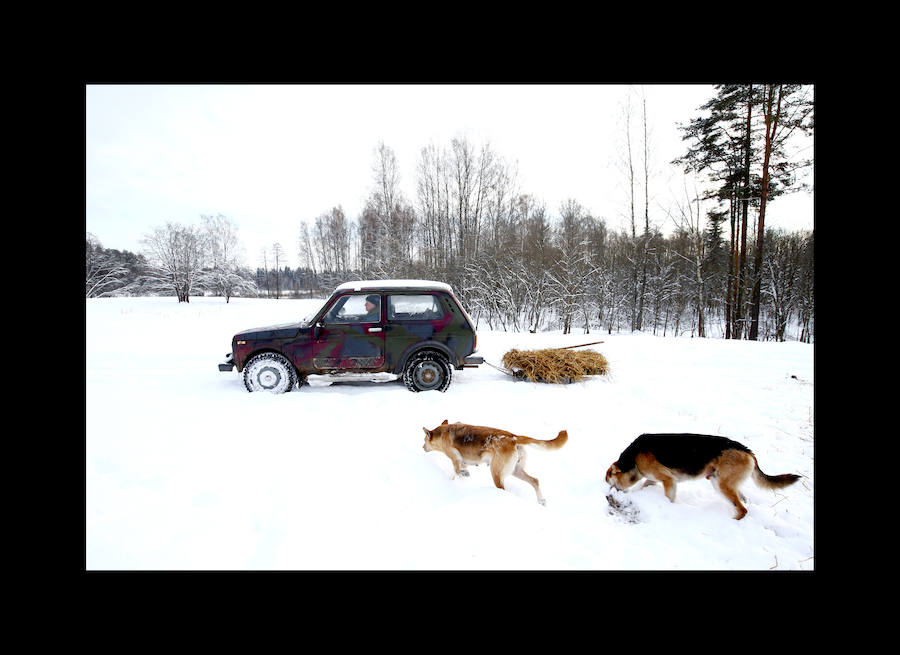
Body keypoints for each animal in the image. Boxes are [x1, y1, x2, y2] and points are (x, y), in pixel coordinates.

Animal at [424, 420, 568, 508]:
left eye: (424, 440)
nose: (422, 447)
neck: (443, 433)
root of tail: (514, 437)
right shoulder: (462, 463)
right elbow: (455, 474)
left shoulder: (455, 459)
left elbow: (457, 471)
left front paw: (462, 476)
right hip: (516, 470)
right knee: (535, 481)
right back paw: (541, 501)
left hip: (496, 473)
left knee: (504, 488)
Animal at [604, 434, 800, 520]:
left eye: (609, 481)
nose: (608, 494)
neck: (633, 459)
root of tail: (748, 452)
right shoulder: (654, 478)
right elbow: (645, 484)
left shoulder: (668, 480)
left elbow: (669, 496)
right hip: (723, 483)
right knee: (744, 501)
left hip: (721, 485)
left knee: (742, 509)